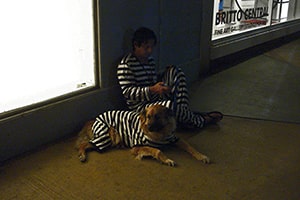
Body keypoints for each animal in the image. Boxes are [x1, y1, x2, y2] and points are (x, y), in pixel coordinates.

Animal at [75, 104, 209, 166]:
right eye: (148, 117)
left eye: (157, 117)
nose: (148, 127)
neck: (160, 133)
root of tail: (94, 119)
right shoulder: (136, 147)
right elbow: (157, 150)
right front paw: (167, 160)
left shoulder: (175, 139)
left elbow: (190, 147)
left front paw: (201, 156)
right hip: (108, 136)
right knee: (83, 144)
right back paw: (82, 155)